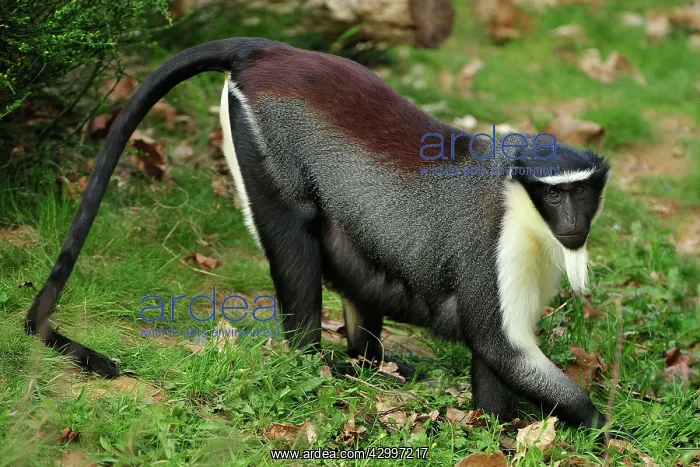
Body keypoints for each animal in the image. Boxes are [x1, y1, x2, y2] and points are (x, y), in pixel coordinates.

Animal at [26, 38, 610, 429]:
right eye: (554, 196)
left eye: (581, 192)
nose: (573, 224)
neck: (520, 203)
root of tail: (265, 50)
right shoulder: (491, 246)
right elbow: (498, 344)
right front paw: (600, 425)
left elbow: (492, 356)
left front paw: (497, 430)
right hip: (264, 149)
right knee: (294, 242)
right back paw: (314, 363)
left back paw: (368, 363)